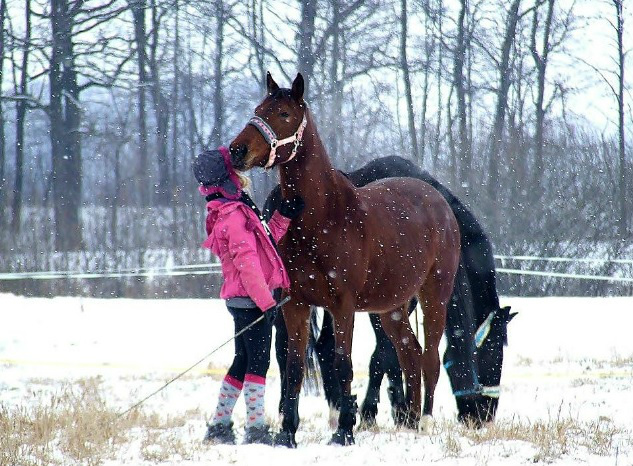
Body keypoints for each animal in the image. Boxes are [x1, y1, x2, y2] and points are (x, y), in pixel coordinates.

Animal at [230, 73, 456, 448]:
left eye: (284, 113)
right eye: (259, 110)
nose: (237, 150)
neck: (323, 217)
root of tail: (438, 201)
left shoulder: (343, 306)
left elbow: (343, 364)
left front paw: (345, 431)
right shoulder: (296, 304)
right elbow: (294, 366)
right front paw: (287, 433)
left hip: (434, 295)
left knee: (429, 357)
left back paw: (423, 421)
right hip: (392, 307)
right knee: (409, 352)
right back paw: (408, 421)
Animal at [262, 156, 512, 426]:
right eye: (492, 354)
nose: (483, 414)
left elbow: (390, 353)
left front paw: (397, 408)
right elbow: (385, 355)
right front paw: (378, 410)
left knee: (322, 346)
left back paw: (335, 407)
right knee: (284, 348)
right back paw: (287, 408)